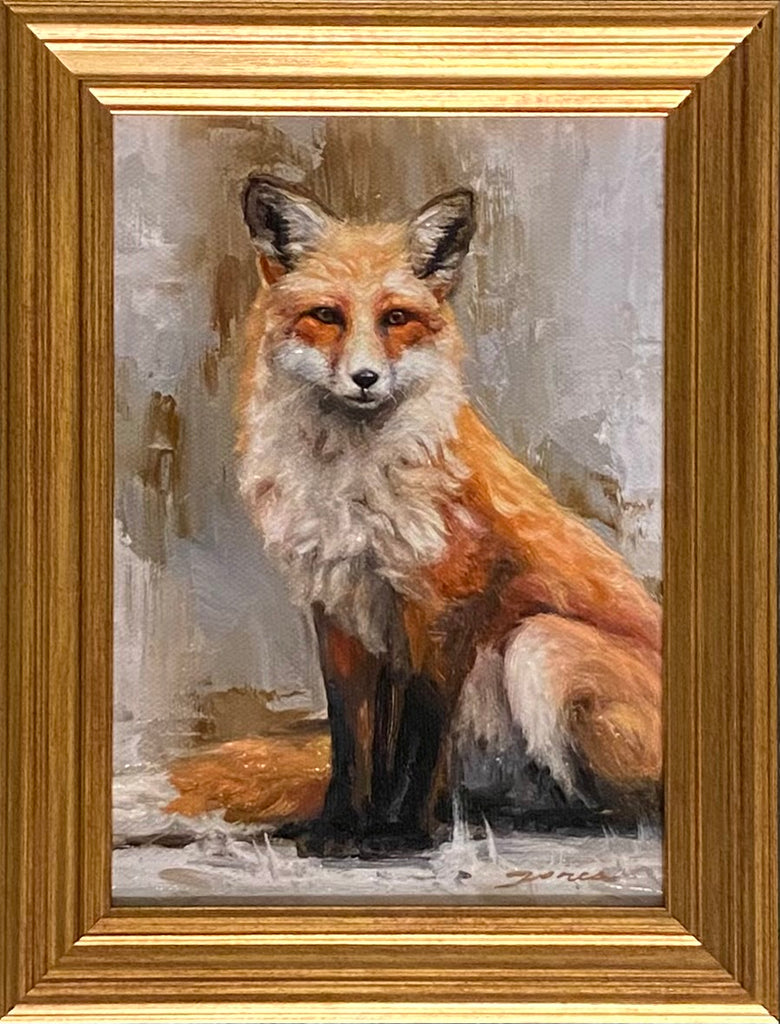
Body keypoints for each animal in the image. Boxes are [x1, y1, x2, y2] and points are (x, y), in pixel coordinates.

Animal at [234, 173, 662, 858]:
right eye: (327, 316)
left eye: (396, 318)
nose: (364, 378)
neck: (354, 491)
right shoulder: (341, 612)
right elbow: (353, 742)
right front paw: (341, 827)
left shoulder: (442, 609)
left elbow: (421, 734)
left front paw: (404, 832)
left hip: (539, 644)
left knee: (635, 807)